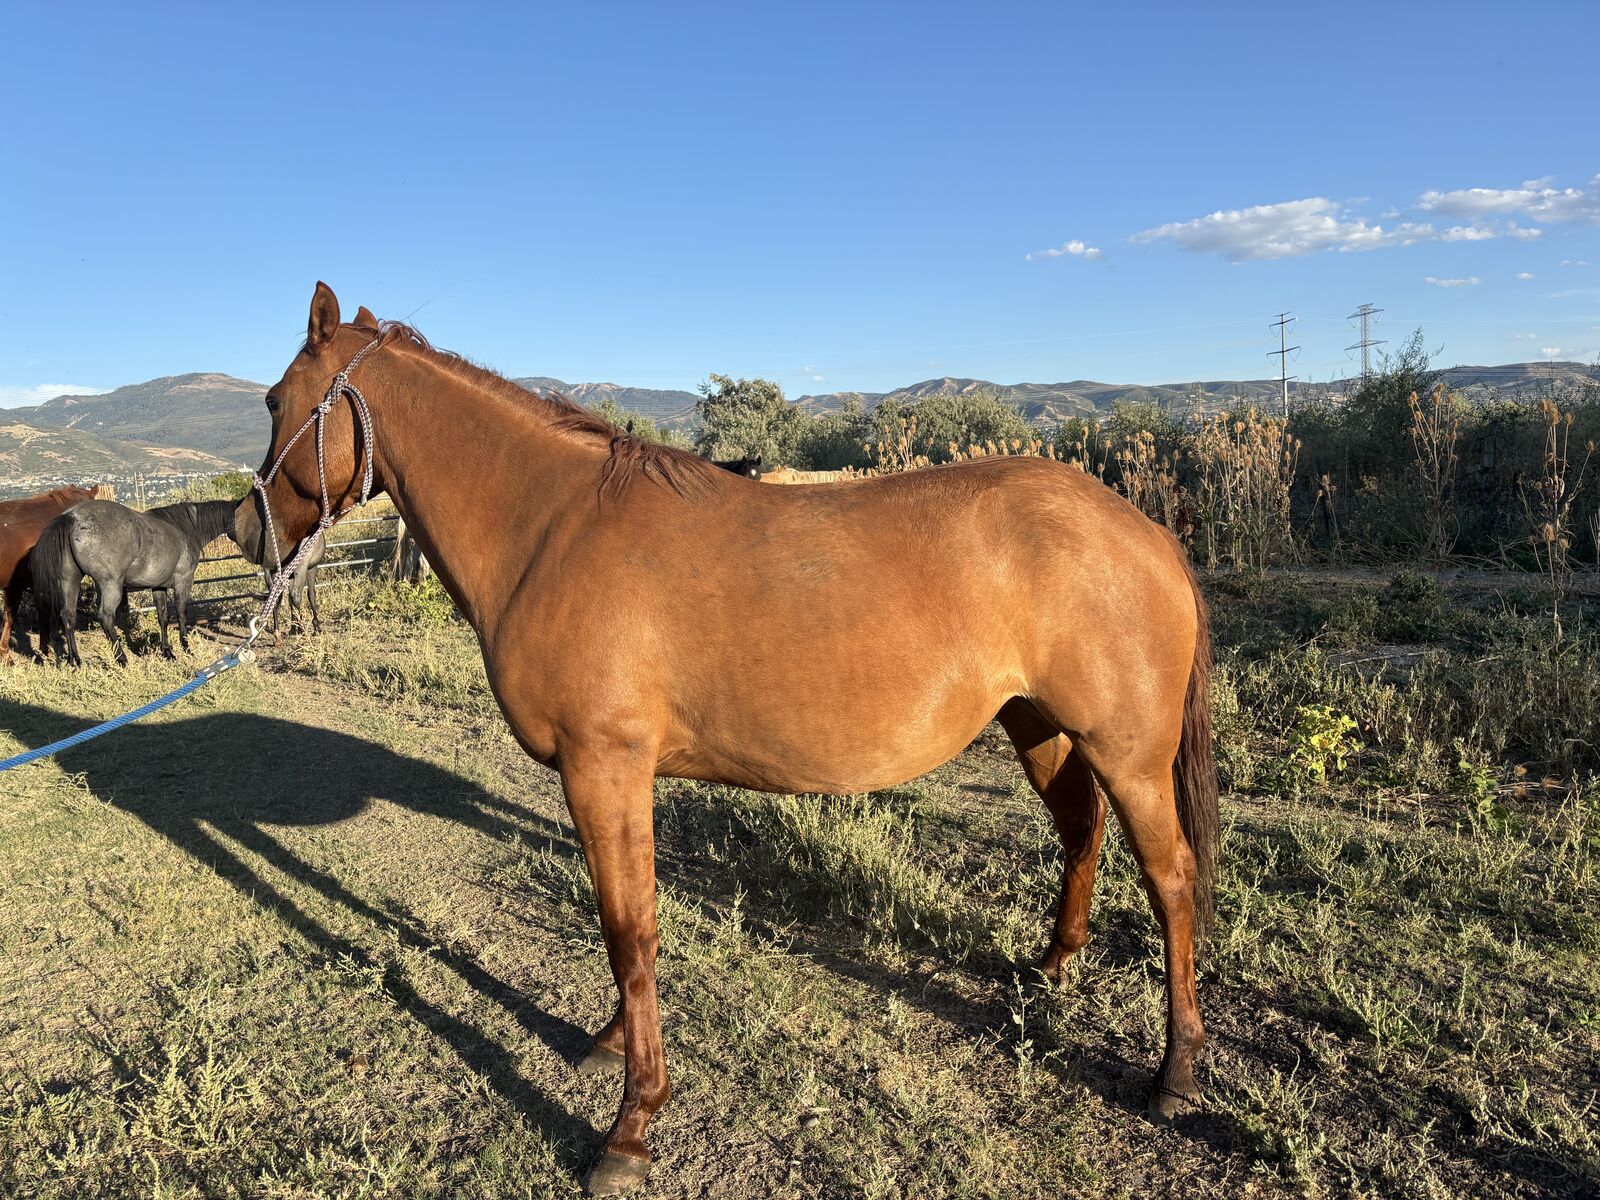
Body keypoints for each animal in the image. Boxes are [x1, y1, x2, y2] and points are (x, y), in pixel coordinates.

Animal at [0, 484, 104, 661]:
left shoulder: (14, 585)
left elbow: (9, 616)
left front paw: (5, 654)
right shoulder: (38, 584)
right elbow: (42, 615)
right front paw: (46, 650)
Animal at [33, 499, 237, 666]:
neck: (184, 529)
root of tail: (72, 517)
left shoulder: (159, 587)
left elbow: (163, 617)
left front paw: (168, 652)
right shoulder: (183, 582)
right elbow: (181, 615)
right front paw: (186, 648)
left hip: (69, 581)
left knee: (68, 616)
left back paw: (75, 660)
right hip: (111, 585)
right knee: (106, 617)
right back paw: (122, 658)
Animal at [235, 285, 1217, 1196]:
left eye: (278, 400)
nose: (246, 530)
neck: (553, 527)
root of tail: (1143, 529)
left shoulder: (604, 768)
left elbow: (628, 931)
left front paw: (632, 1125)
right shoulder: (617, 778)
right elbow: (628, 926)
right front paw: (611, 1045)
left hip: (1127, 755)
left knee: (1171, 880)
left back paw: (1177, 1071)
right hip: (1039, 727)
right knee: (1081, 830)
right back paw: (1051, 967)